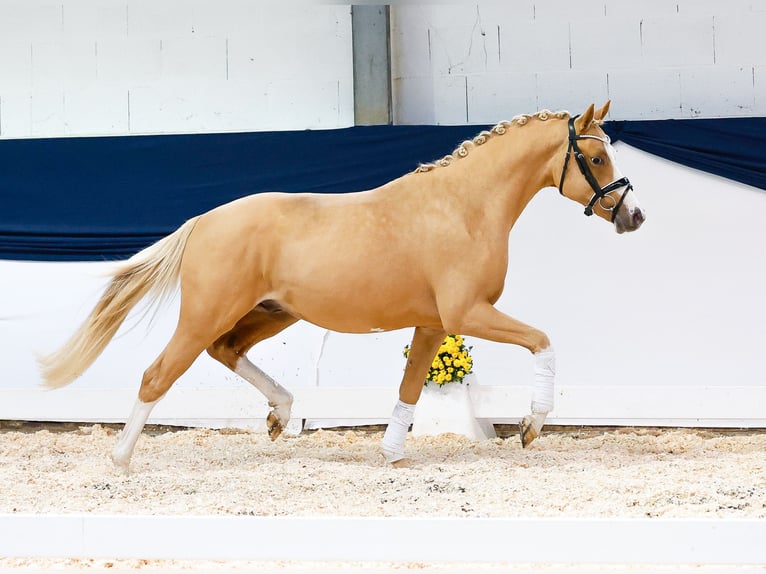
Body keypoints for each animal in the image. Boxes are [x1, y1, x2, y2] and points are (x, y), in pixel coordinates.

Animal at [39, 102, 644, 472]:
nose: (634, 216)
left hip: (272, 312)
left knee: (226, 350)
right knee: (158, 373)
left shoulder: (433, 323)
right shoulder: (467, 313)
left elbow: (409, 388)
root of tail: (204, 222)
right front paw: (530, 427)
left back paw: (281, 415)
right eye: (595, 157)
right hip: (208, 312)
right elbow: (543, 341)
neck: (463, 207)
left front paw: (392, 454)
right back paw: (120, 460)